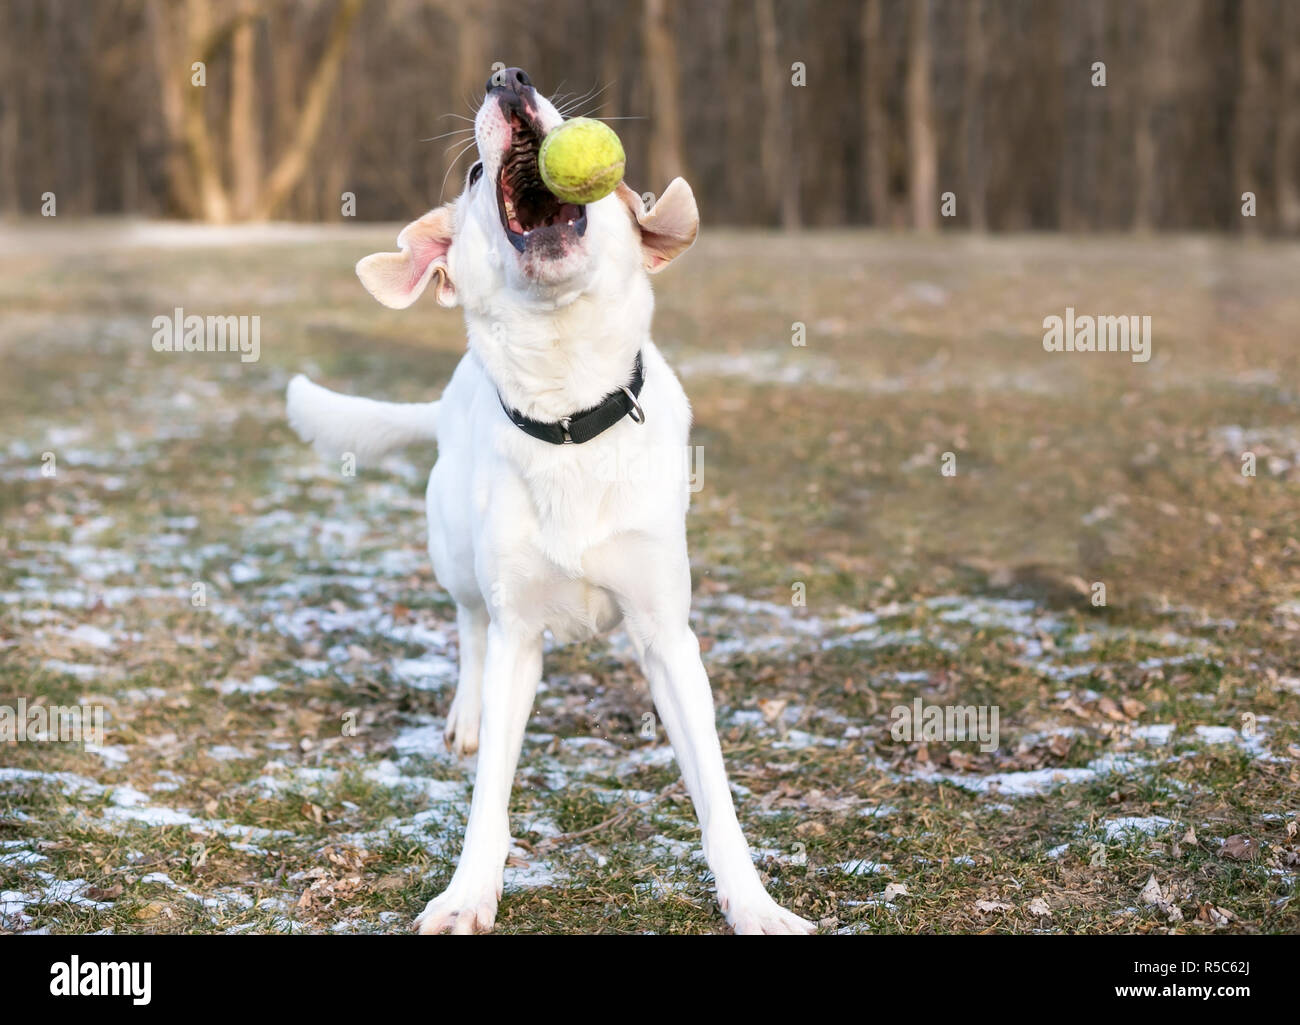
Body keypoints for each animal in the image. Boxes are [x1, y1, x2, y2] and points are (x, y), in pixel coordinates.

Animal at [287, 67, 811, 931]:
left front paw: (755, 904)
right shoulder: (519, 634)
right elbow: (489, 795)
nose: (506, 78)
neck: (568, 411)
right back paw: (466, 716)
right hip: (456, 554)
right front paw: (468, 892)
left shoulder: (668, 634)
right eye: (472, 174)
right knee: (470, 625)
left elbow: (716, 795)